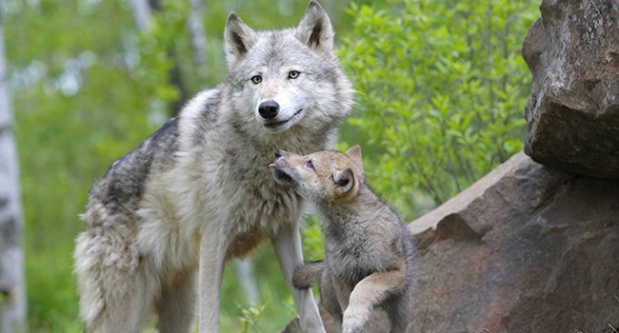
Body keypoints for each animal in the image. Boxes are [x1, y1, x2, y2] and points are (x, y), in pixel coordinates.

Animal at [71, 1, 354, 330]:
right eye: (256, 79)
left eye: (293, 75)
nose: (268, 108)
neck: (264, 158)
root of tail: (91, 203)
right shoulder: (212, 242)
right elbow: (210, 320)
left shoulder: (284, 231)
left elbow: (309, 313)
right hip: (129, 310)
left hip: (180, 305)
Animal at [268, 146, 414, 332]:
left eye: (310, 163)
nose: (277, 152)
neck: (352, 228)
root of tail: (324, 267)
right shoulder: (341, 276)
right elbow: (348, 304)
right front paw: (353, 321)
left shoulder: (394, 271)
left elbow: (364, 286)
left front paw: (354, 317)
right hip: (331, 296)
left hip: (400, 312)